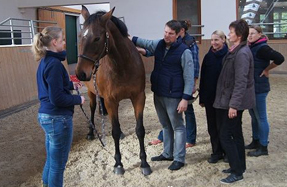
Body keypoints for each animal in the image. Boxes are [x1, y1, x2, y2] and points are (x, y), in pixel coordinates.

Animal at [76, 5, 153, 175]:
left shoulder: (138, 98)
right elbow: (114, 132)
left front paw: (144, 163)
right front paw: (118, 164)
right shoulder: (111, 101)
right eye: (79, 37)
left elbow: (139, 130)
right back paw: (90, 132)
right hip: (92, 93)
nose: (80, 73)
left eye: (97, 38)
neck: (122, 66)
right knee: (92, 109)